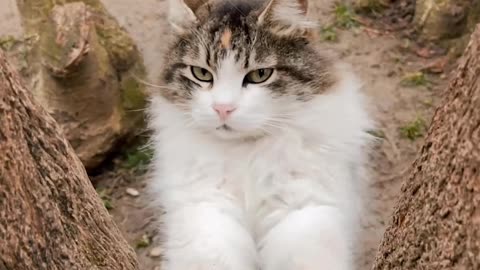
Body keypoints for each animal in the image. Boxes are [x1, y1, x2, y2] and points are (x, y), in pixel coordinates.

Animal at [148, 0, 374, 268]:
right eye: (201, 74)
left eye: (260, 75)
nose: (223, 108)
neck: (245, 153)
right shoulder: (206, 207)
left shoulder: (303, 206)